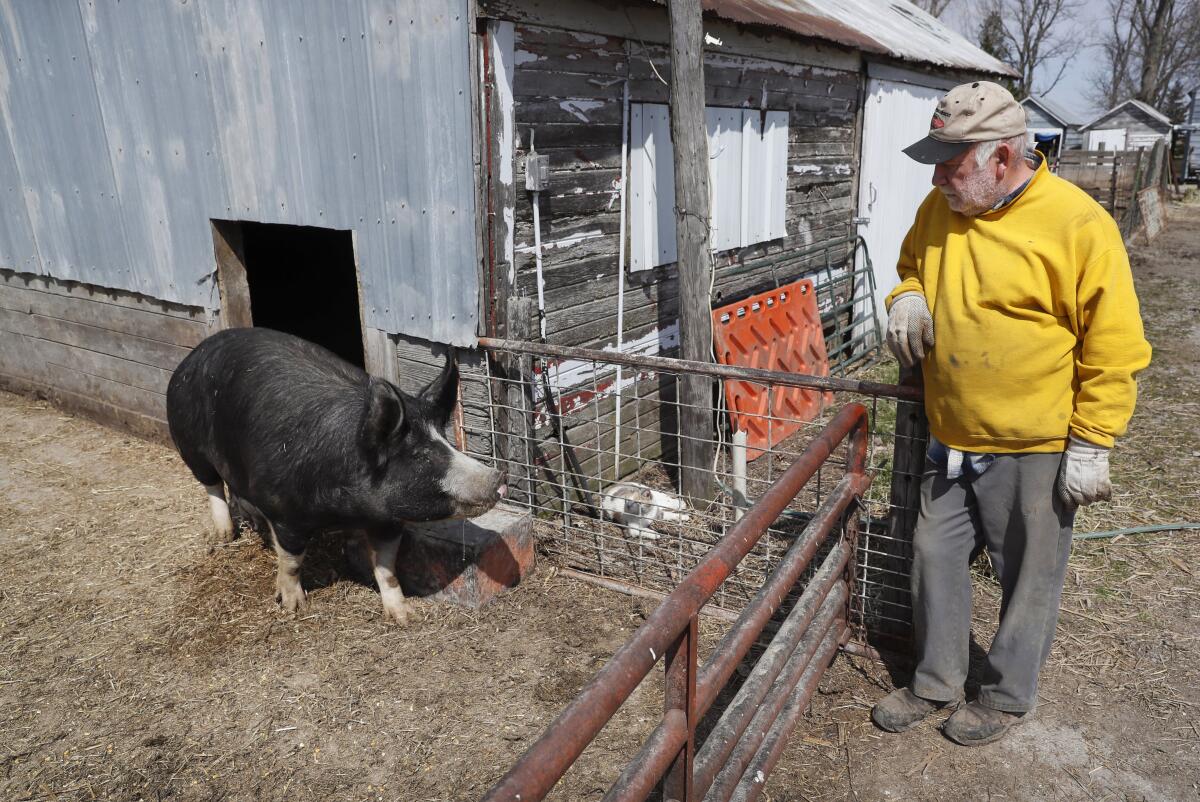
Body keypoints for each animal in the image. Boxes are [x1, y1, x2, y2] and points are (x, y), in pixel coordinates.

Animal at [166, 326, 504, 624]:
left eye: (447, 442)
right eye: (420, 456)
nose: (498, 477)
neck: (345, 510)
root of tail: (194, 355)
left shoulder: (387, 520)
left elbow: (387, 569)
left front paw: (405, 617)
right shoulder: (285, 512)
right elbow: (292, 561)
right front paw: (293, 606)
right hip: (189, 443)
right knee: (211, 485)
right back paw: (224, 535)